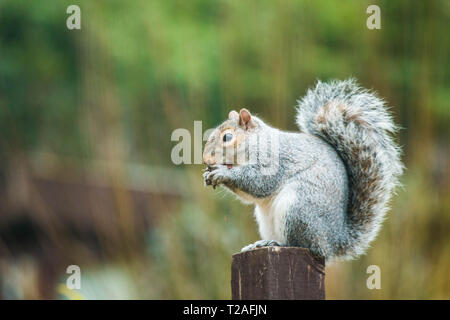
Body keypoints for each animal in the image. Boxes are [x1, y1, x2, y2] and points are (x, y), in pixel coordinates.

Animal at [202, 79, 402, 262]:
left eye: (227, 137)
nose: (206, 160)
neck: (257, 141)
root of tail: (334, 241)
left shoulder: (275, 161)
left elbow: (260, 182)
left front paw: (222, 173)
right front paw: (208, 174)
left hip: (298, 208)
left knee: (307, 246)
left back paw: (279, 244)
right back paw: (261, 243)